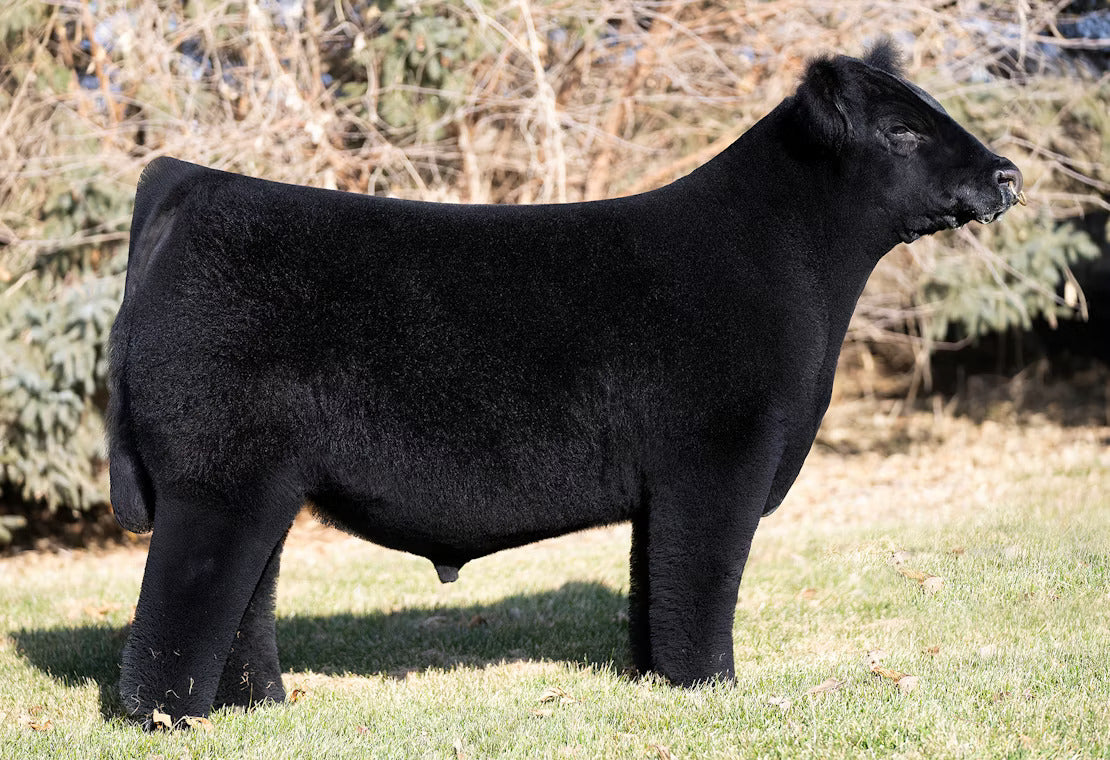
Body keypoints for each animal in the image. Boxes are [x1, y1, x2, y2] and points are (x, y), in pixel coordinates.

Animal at [107, 40, 1023, 727]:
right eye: (902, 132)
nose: (1007, 174)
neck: (790, 265)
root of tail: (193, 184)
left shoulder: (669, 485)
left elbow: (655, 587)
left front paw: (658, 681)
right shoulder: (719, 460)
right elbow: (703, 581)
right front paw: (712, 689)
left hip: (263, 478)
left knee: (246, 598)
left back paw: (257, 707)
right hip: (216, 473)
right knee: (183, 600)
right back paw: (169, 720)